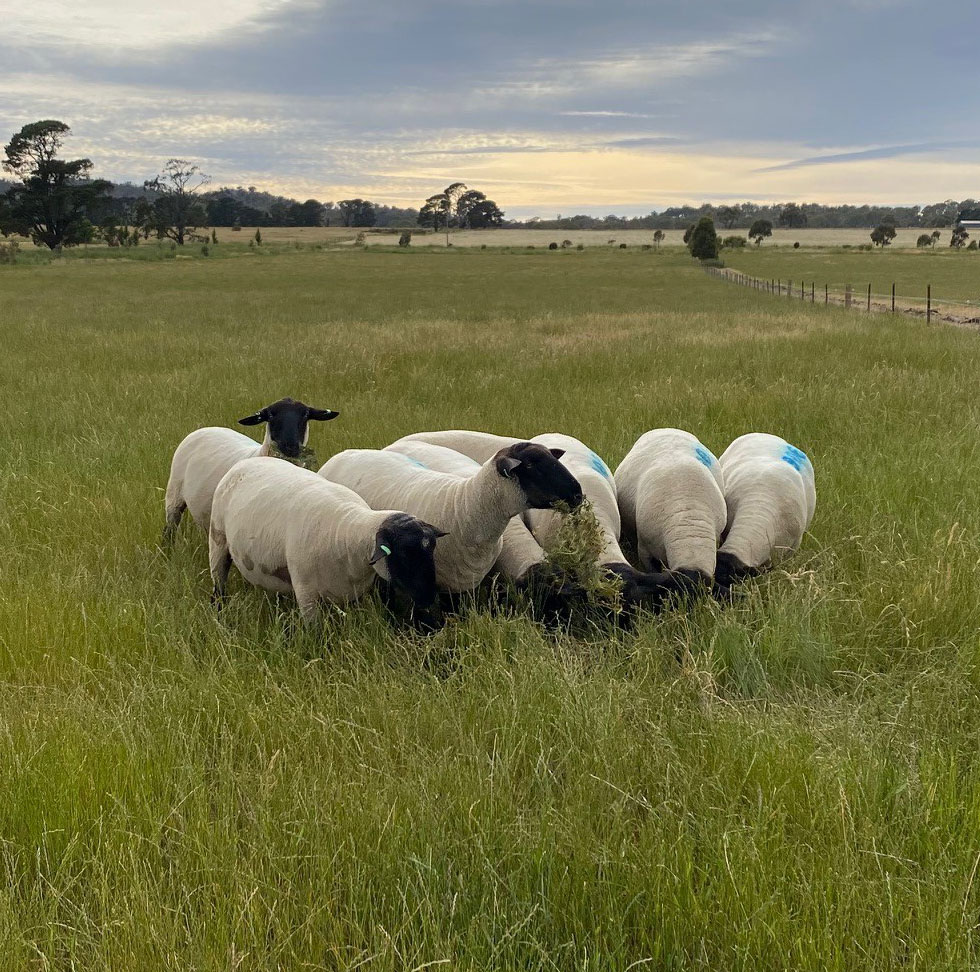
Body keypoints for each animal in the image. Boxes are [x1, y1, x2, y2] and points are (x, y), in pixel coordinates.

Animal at [163, 397, 338, 540]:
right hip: (174, 493)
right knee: (169, 530)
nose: (290, 446)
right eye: (271, 415)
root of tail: (204, 428)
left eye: (305, 415)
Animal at [208, 456, 445, 621]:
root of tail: (246, 461)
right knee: (218, 581)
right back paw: (218, 613)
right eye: (404, 554)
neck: (346, 533)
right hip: (218, 539)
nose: (428, 598)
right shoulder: (306, 593)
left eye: (432, 549)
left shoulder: (352, 593)